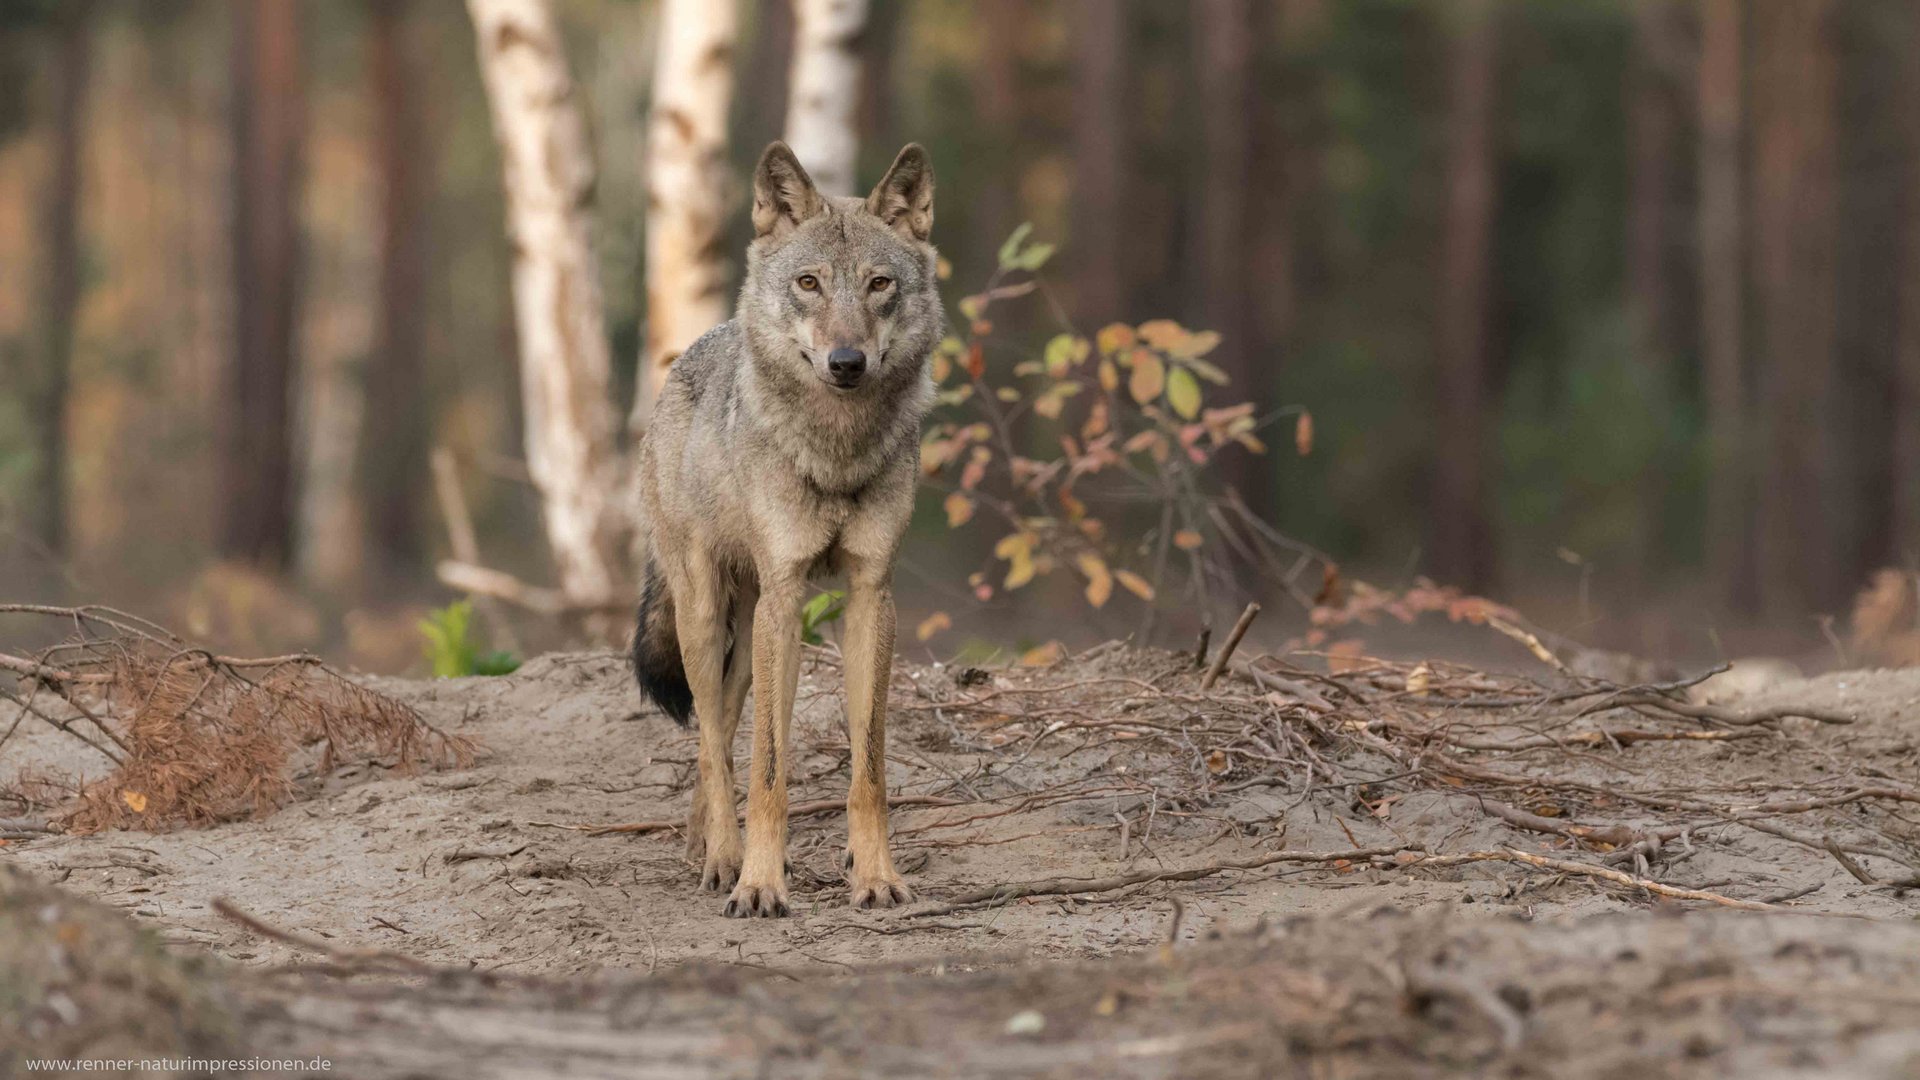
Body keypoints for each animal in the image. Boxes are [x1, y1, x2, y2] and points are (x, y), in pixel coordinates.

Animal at [633, 141, 940, 914]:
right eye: (809, 283)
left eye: (878, 285)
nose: (847, 362)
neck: (837, 450)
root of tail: (692, 351)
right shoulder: (786, 590)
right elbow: (768, 769)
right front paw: (760, 884)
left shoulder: (870, 596)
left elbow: (868, 765)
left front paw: (876, 876)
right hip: (713, 616)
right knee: (714, 740)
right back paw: (722, 859)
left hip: (751, 639)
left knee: (721, 729)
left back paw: (700, 844)